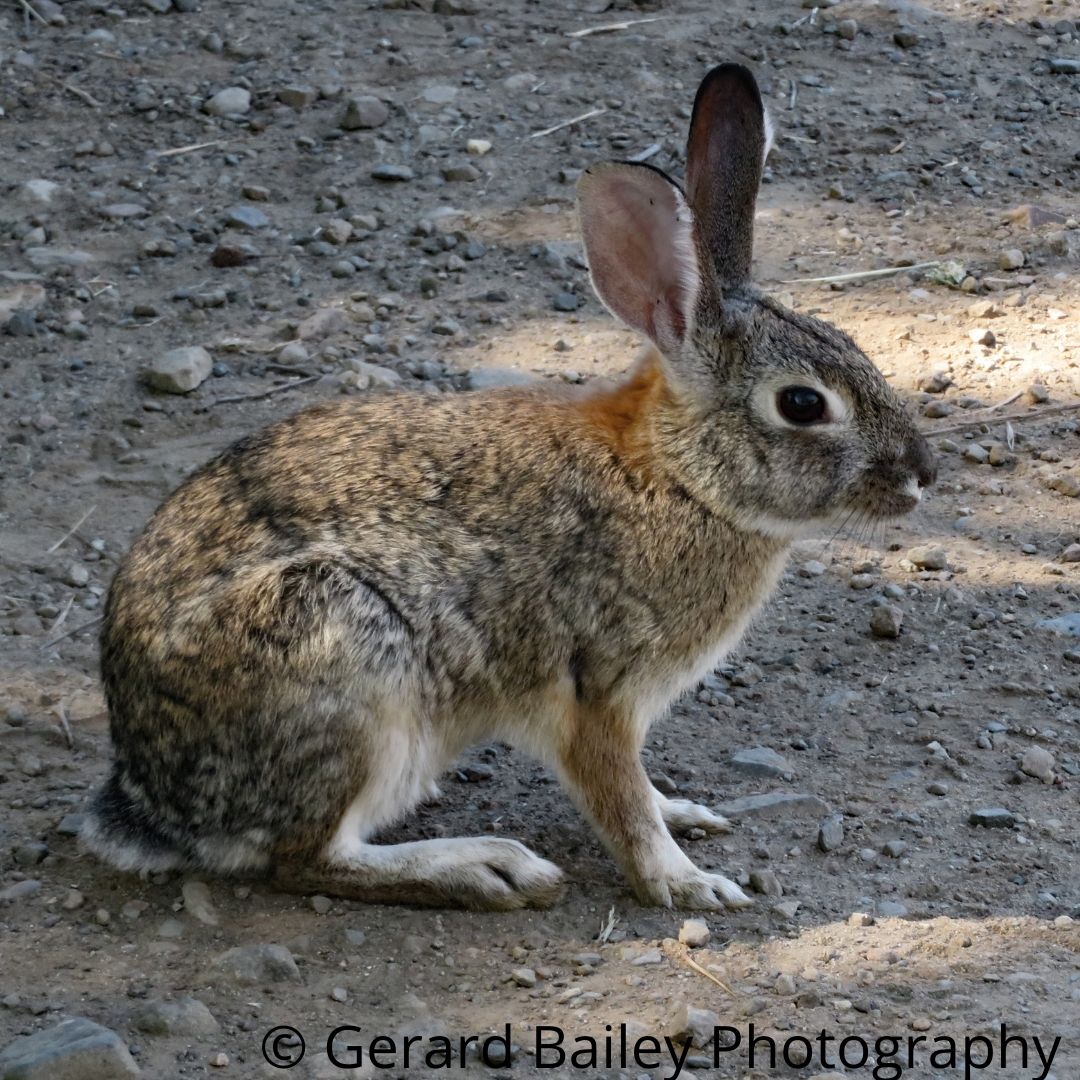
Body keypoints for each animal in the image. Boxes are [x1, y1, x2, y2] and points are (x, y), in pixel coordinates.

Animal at [79, 65, 933, 911]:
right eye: (803, 405)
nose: (922, 473)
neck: (679, 477)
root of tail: (153, 801)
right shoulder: (596, 692)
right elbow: (621, 803)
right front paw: (688, 884)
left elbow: (643, 793)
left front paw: (683, 811)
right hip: (345, 659)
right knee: (307, 859)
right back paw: (488, 869)